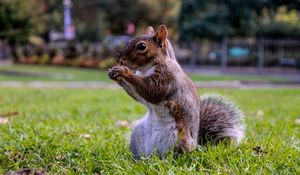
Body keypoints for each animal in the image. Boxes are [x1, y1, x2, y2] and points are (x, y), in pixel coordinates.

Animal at [108, 25, 246, 160]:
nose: (120, 61)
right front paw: (114, 73)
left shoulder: (167, 79)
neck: (146, 69)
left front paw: (123, 72)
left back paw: (165, 160)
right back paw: (137, 160)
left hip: (178, 138)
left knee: (174, 156)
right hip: (138, 133)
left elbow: (151, 90)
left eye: (141, 46)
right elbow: (138, 94)